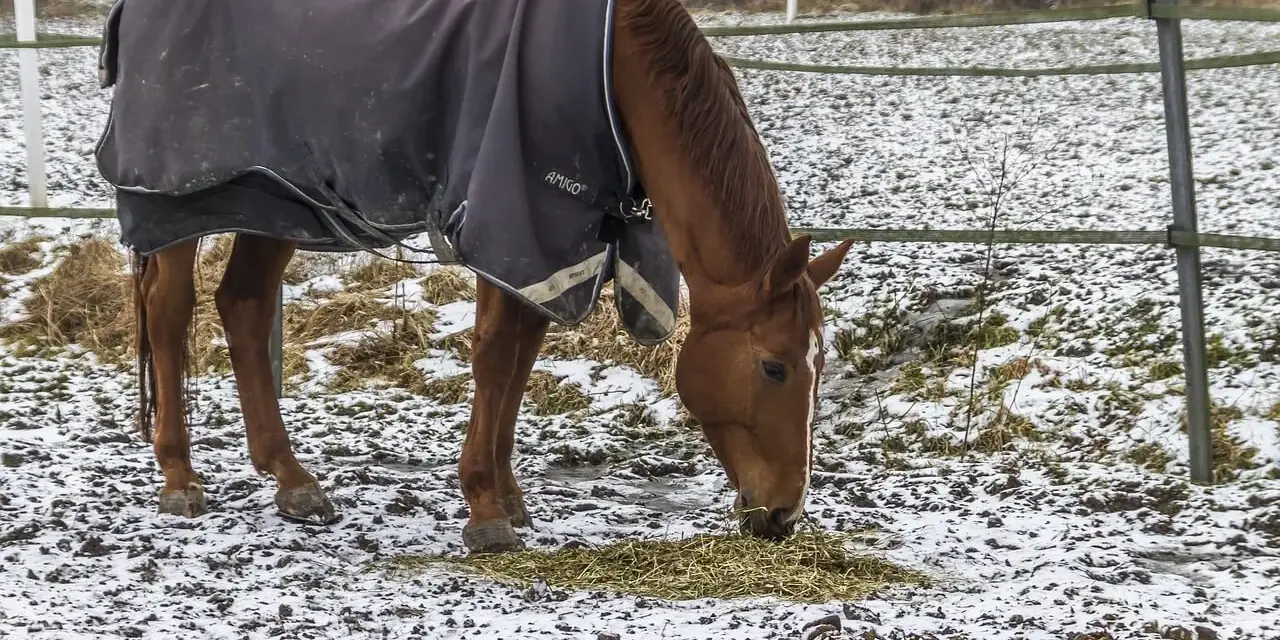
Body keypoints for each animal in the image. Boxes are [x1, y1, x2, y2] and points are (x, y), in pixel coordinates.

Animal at [97, 0, 855, 554]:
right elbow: (494, 357)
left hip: (278, 199)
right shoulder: (509, 221)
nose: (784, 513)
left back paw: (291, 480)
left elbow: (520, 360)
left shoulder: (559, 244)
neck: (613, 69)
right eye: (775, 367)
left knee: (245, 304)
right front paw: (485, 508)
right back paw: (179, 476)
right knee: (169, 311)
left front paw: (508, 495)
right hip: (183, 200)